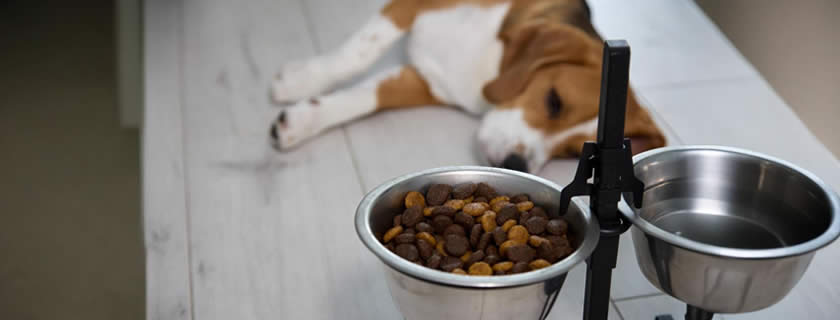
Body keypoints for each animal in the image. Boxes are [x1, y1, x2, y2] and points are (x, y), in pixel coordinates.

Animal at [270, 0, 664, 174]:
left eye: (571, 153)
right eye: (555, 101)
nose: (516, 164)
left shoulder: (429, 81)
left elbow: (369, 97)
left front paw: (301, 122)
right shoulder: (411, 6)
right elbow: (359, 52)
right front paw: (300, 78)